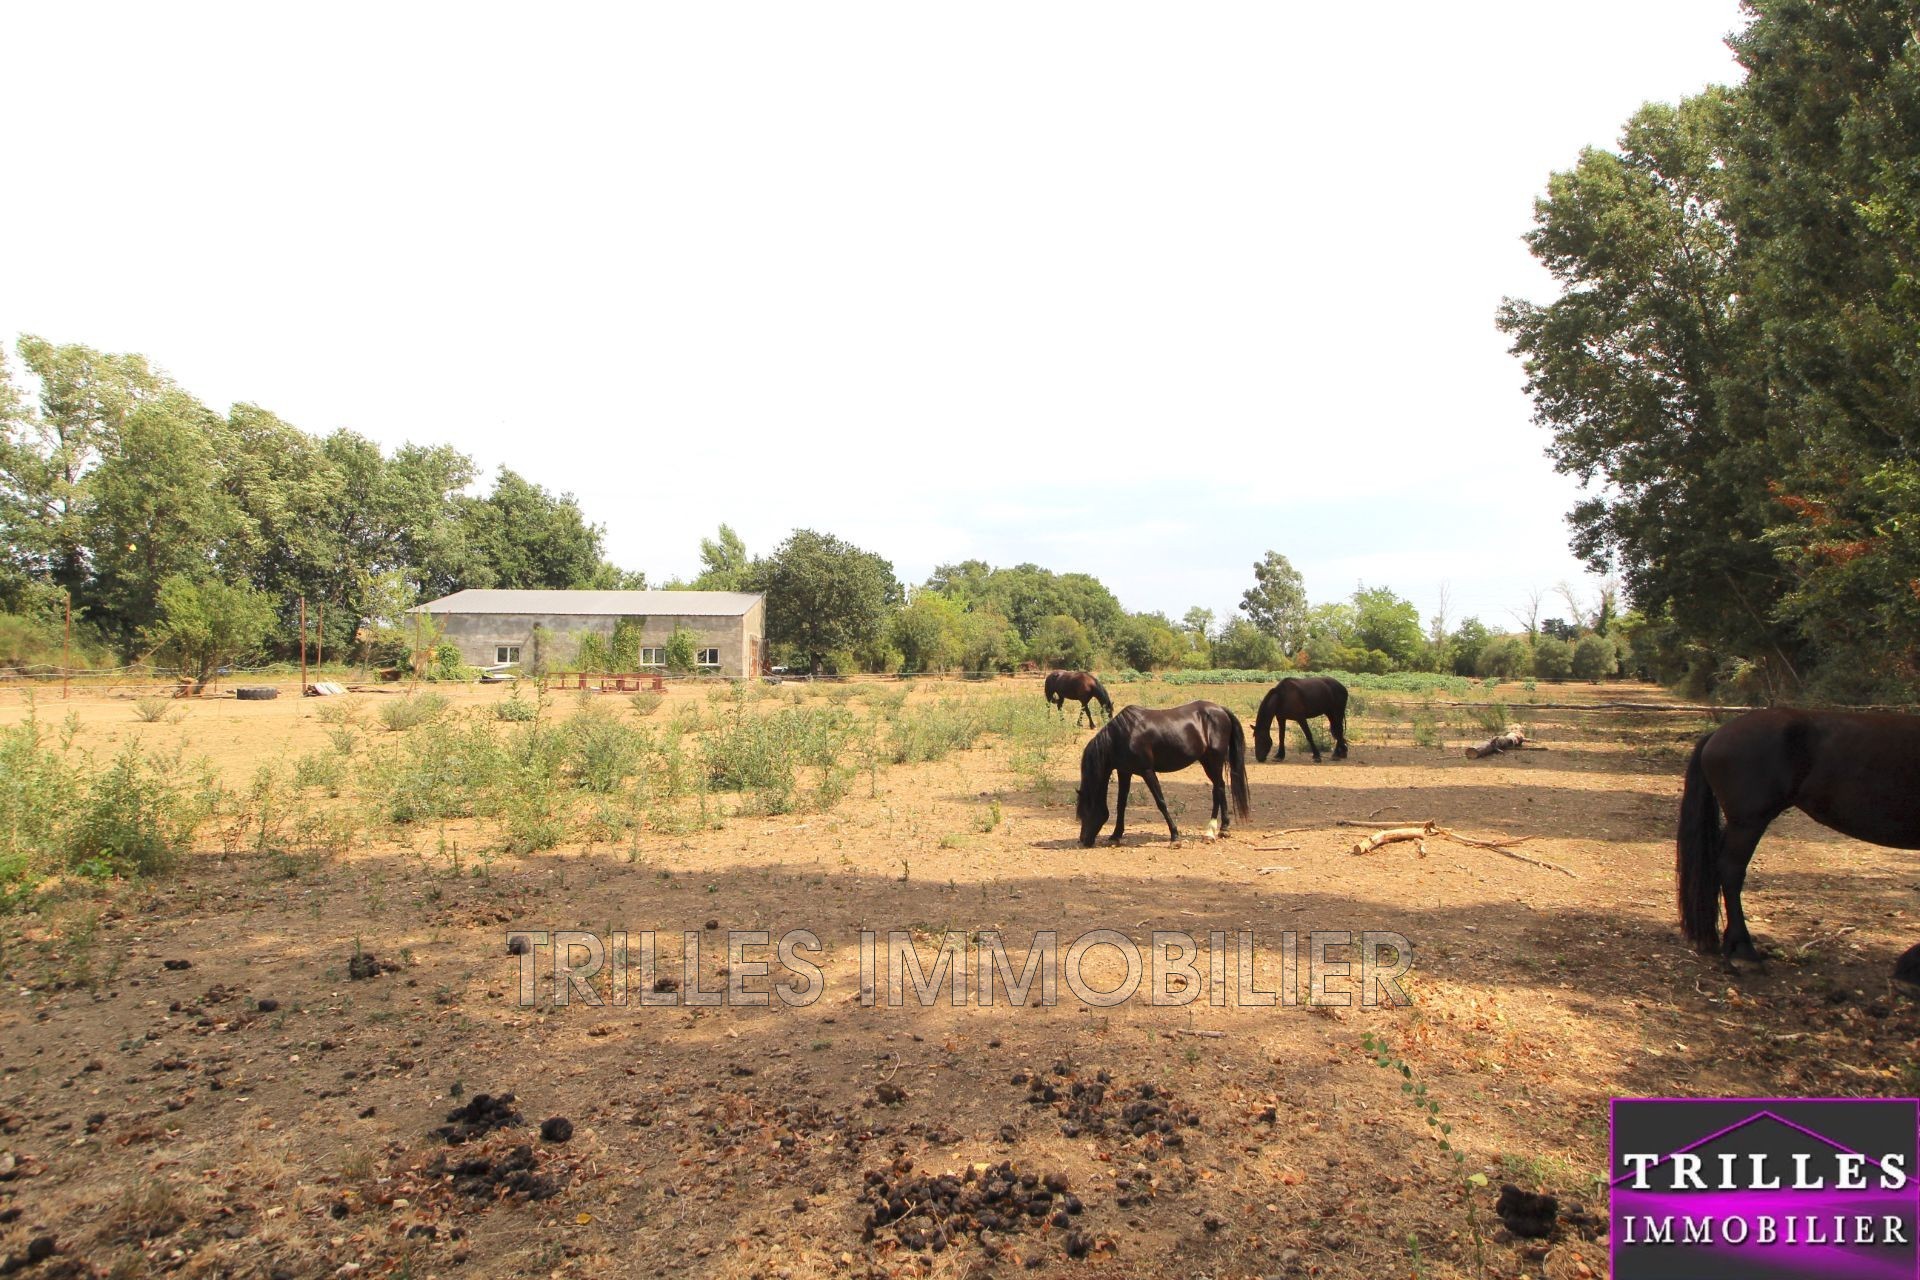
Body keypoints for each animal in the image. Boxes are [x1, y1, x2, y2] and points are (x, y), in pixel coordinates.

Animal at [1075, 706, 1251, 844]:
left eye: (1085, 811)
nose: (1083, 840)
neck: (1122, 736)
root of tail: (1221, 709)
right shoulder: (1124, 772)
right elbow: (1121, 804)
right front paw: (1116, 835)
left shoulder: (1147, 771)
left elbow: (1161, 802)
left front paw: (1175, 836)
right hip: (1206, 761)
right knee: (1218, 787)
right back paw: (1219, 829)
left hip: (1214, 761)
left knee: (1219, 789)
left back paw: (1215, 830)